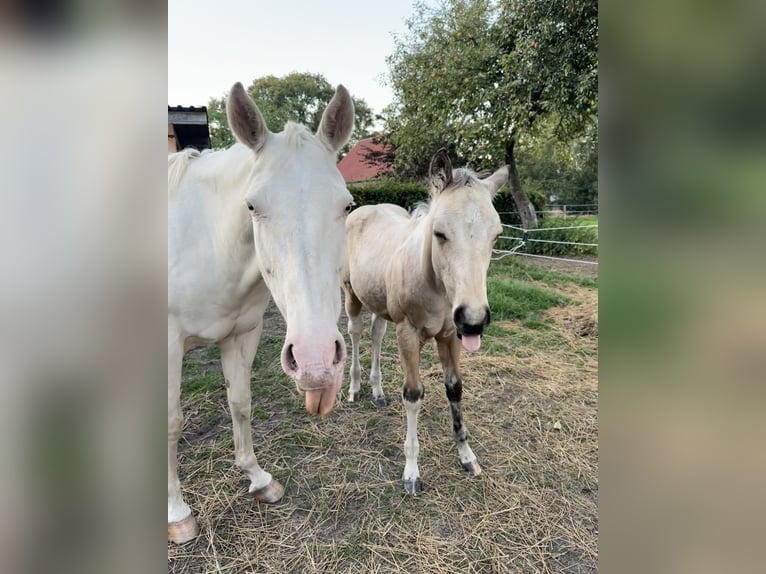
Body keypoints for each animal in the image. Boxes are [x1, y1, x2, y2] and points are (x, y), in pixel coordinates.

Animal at [168, 82, 354, 543]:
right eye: (252, 207)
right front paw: (176, 513)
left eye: (346, 205)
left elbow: (240, 402)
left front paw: (258, 479)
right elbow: (172, 422)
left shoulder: (242, 333)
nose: (316, 362)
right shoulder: (167, 344)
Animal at [342, 149, 508, 494]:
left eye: (496, 235)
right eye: (440, 233)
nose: (474, 320)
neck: (435, 284)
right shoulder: (408, 332)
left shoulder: (450, 335)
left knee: (376, 335)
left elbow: (454, 389)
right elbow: (413, 394)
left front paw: (467, 456)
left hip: (380, 303)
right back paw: (355, 388)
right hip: (350, 293)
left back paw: (377, 392)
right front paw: (411, 471)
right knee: (355, 332)